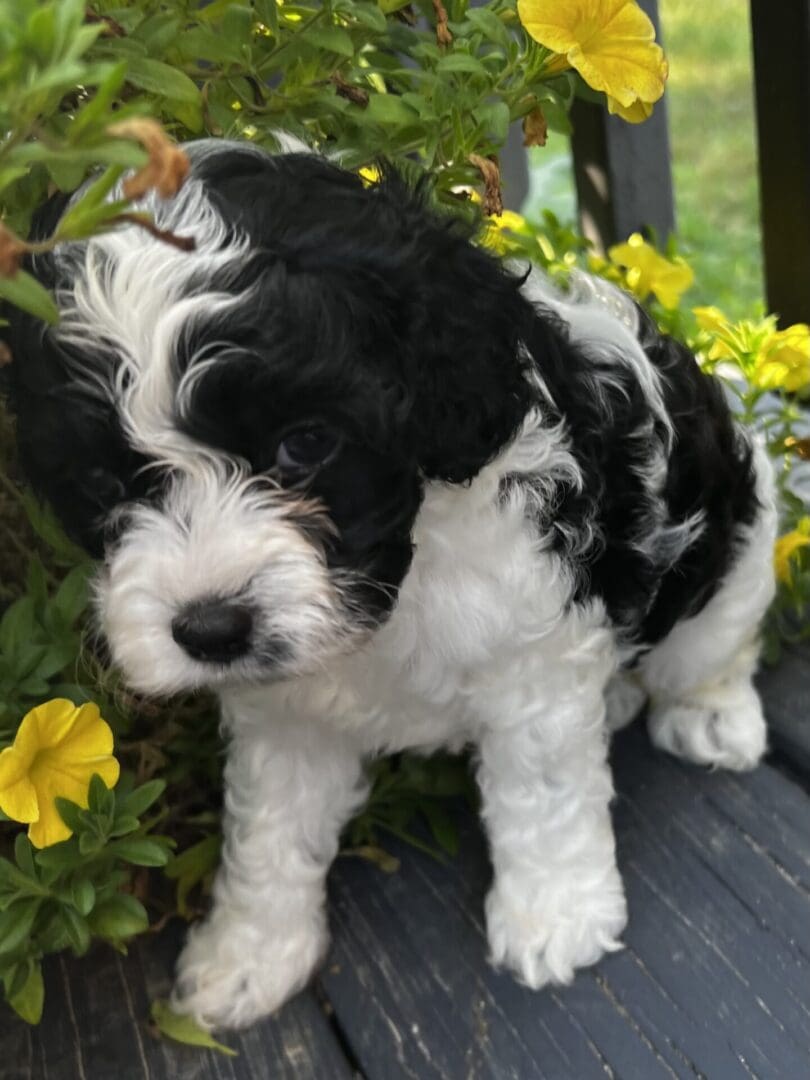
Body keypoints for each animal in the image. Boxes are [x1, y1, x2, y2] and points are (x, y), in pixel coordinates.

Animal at [6, 141, 781, 1028]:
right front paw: (247, 956)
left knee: (713, 647)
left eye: (306, 443)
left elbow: (544, 794)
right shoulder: (284, 717)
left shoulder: (531, 662)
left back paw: (712, 716)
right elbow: (270, 832)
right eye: (102, 485)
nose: (209, 630)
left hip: (736, 542)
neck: (395, 592)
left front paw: (555, 917)